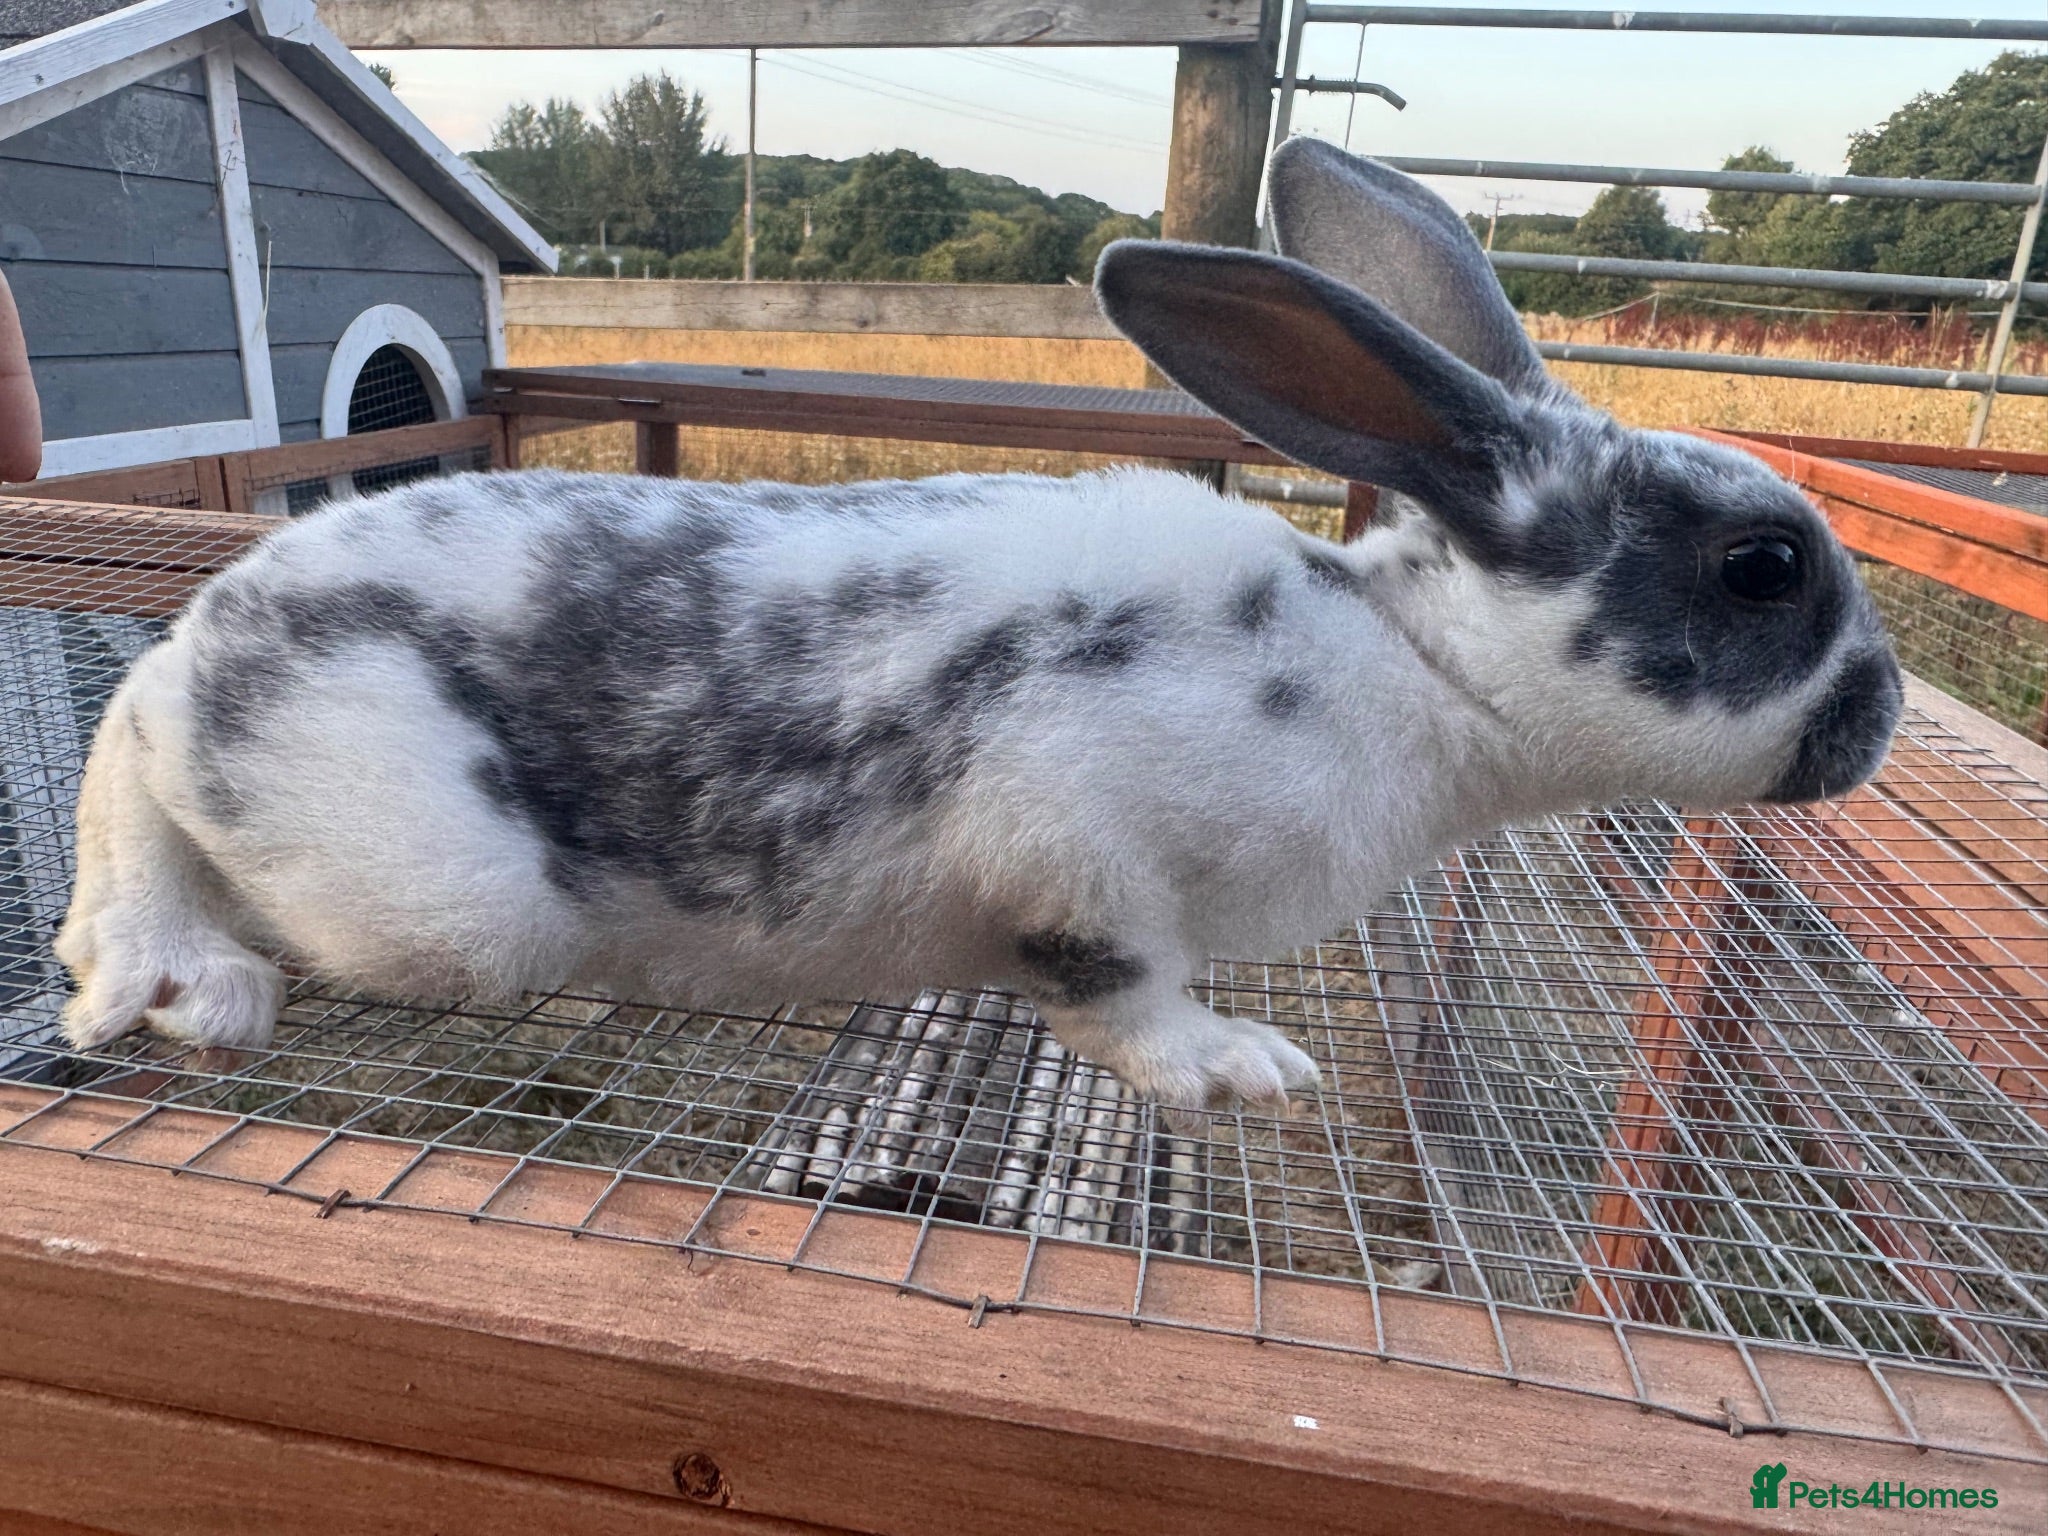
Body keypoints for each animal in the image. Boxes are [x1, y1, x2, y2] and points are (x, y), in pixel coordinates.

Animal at [53, 138, 1902, 1115]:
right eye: (1760, 570)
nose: (1876, 715)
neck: (1412, 668)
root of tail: (221, 619)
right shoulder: (1076, 846)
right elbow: (1123, 996)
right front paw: (1243, 1068)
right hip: (432, 899)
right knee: (134, 757)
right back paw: (178, 984)